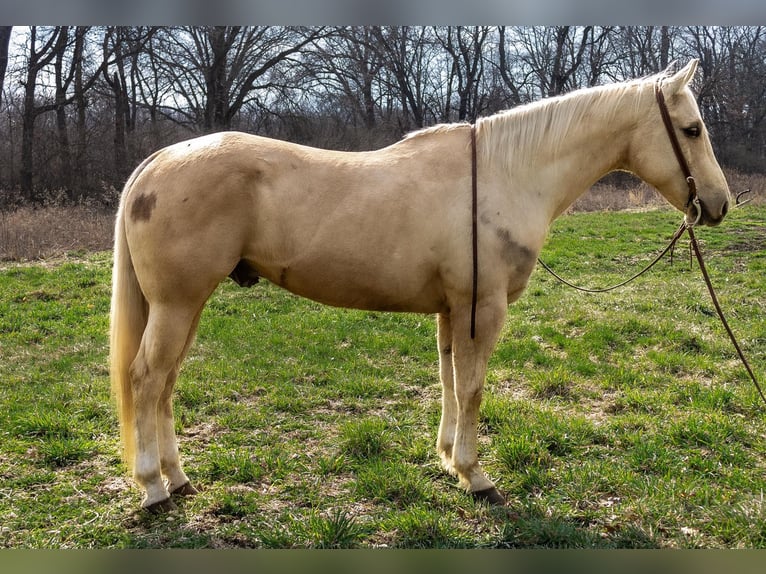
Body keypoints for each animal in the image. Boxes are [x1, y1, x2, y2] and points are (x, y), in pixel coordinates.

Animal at [109, 60, 732, 516]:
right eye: (692, 128)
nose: (720, 204)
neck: (505, 176)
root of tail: (155, 162)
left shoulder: (453, 310)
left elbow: (450, 381)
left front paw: (449, 460)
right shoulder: (484, 309)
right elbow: (473, 388)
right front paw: (476, 476)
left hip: (186, 307)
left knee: (165, 385)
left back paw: (178, 479)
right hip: (176, 305)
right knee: (147, 380)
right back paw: (154, 488)